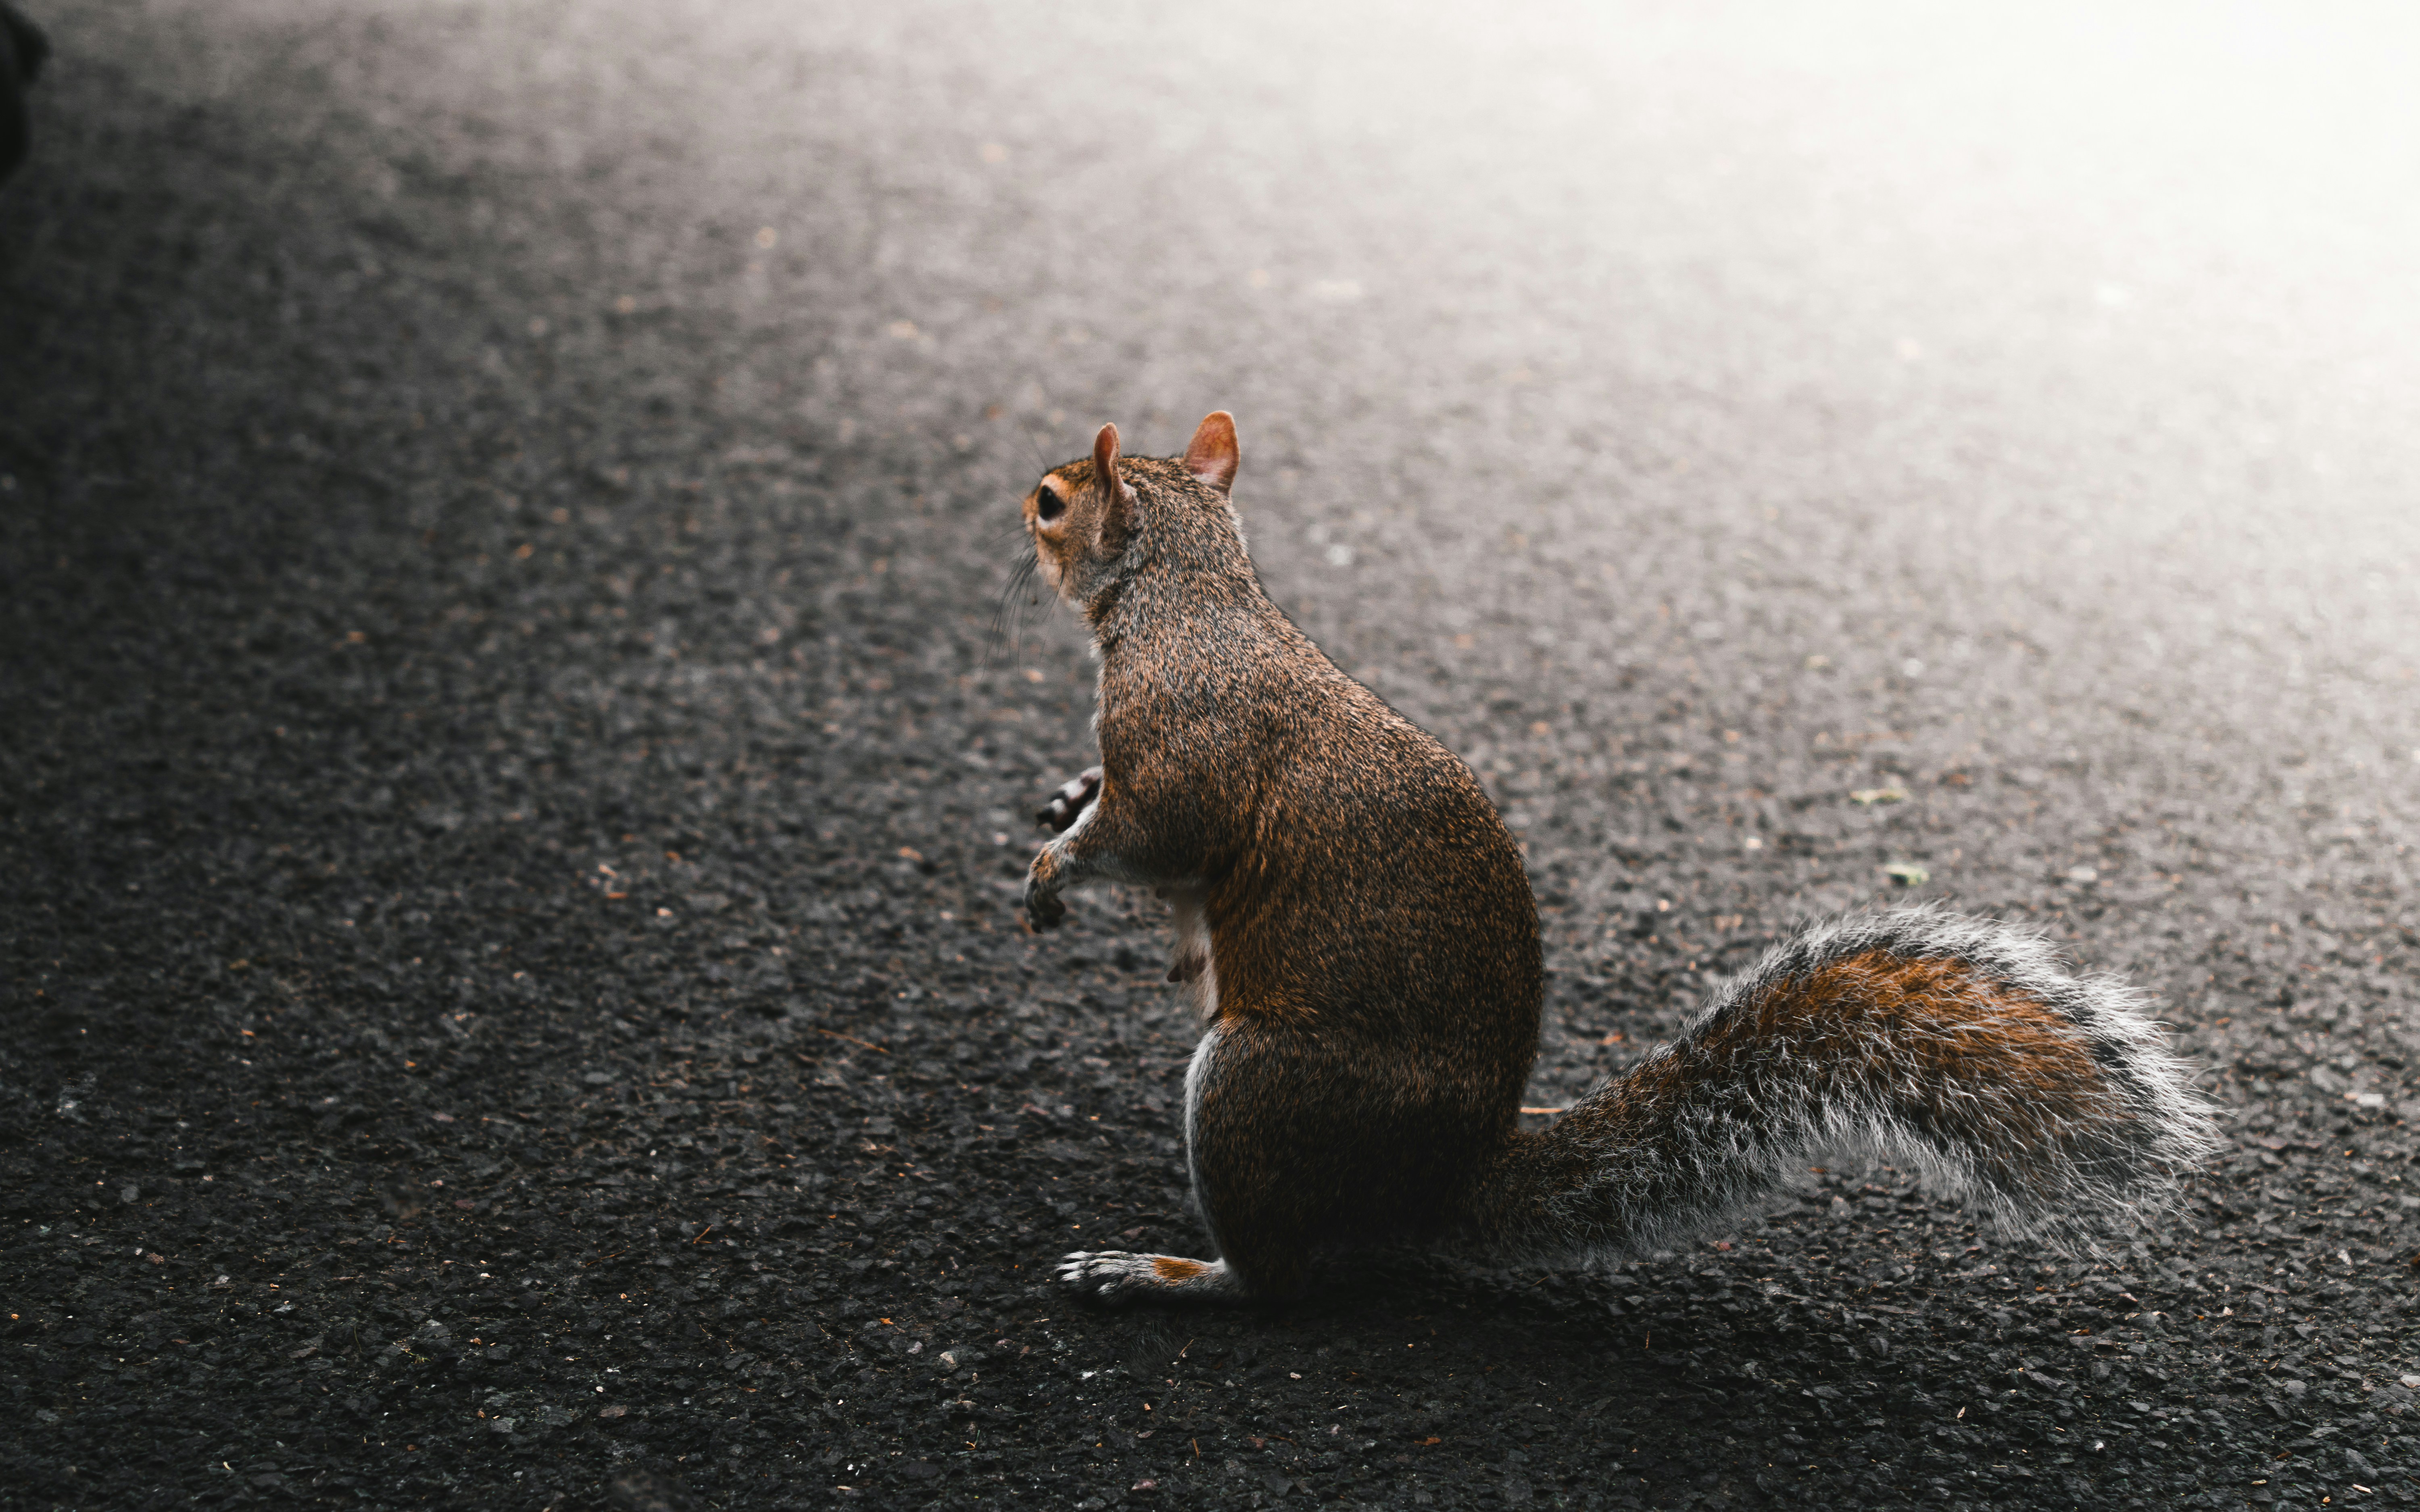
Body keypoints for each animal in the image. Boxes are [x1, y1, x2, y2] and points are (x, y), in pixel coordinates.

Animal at [1017, 412, 2216, 1304]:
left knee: (1278, 1275)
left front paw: (1055, 867)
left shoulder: (1184, 745)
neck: (1188, 590)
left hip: (1261, 1084)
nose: (1016, 510)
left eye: (1052, 502)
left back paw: (1166, 1271)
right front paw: (1067, 798)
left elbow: (1154, 834)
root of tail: (1435, 1182)